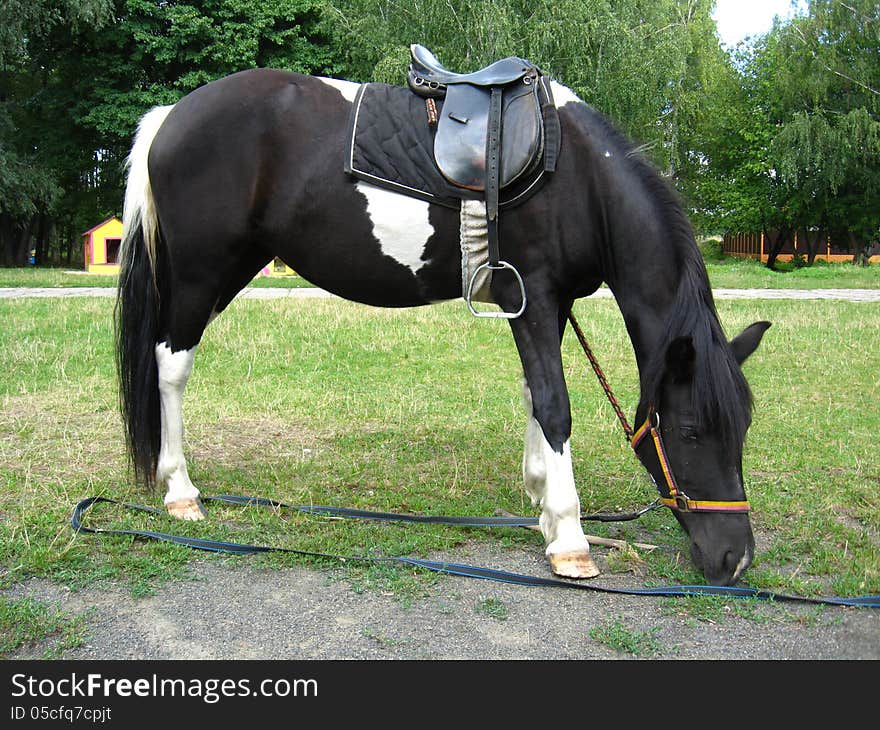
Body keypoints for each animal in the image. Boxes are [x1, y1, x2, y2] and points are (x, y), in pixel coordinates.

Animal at [118, 64, 768, 584]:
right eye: (690, 431)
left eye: (741, 430)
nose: (735, 559)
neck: (578, 176)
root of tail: (171, 116)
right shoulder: (533, 294)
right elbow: (555, 404)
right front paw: (570, 537)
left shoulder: (549, 303)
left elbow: (534, 393)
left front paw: (541, 499)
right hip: (202, 273)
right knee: (171, 365)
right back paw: (181, 492)